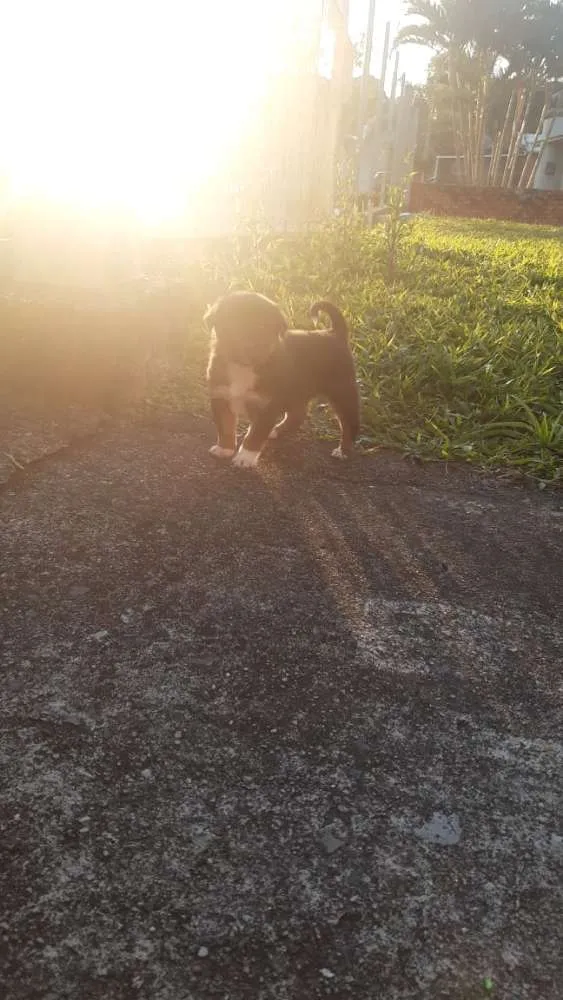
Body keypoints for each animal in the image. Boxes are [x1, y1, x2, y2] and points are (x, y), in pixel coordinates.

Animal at [205, 290, 360, 468]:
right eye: (233, 324)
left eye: (262, 327)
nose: (249, 348)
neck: (244, 367)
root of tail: (335, 332)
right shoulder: (221, 397)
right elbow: (225, 427)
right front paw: (225, 448)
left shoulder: (267, 406)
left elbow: (255, 434)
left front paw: (245, 457)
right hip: (296, 393)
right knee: (298, 415)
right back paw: (276, 430)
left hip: (342, 391)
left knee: (349, 423)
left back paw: (343, 450)